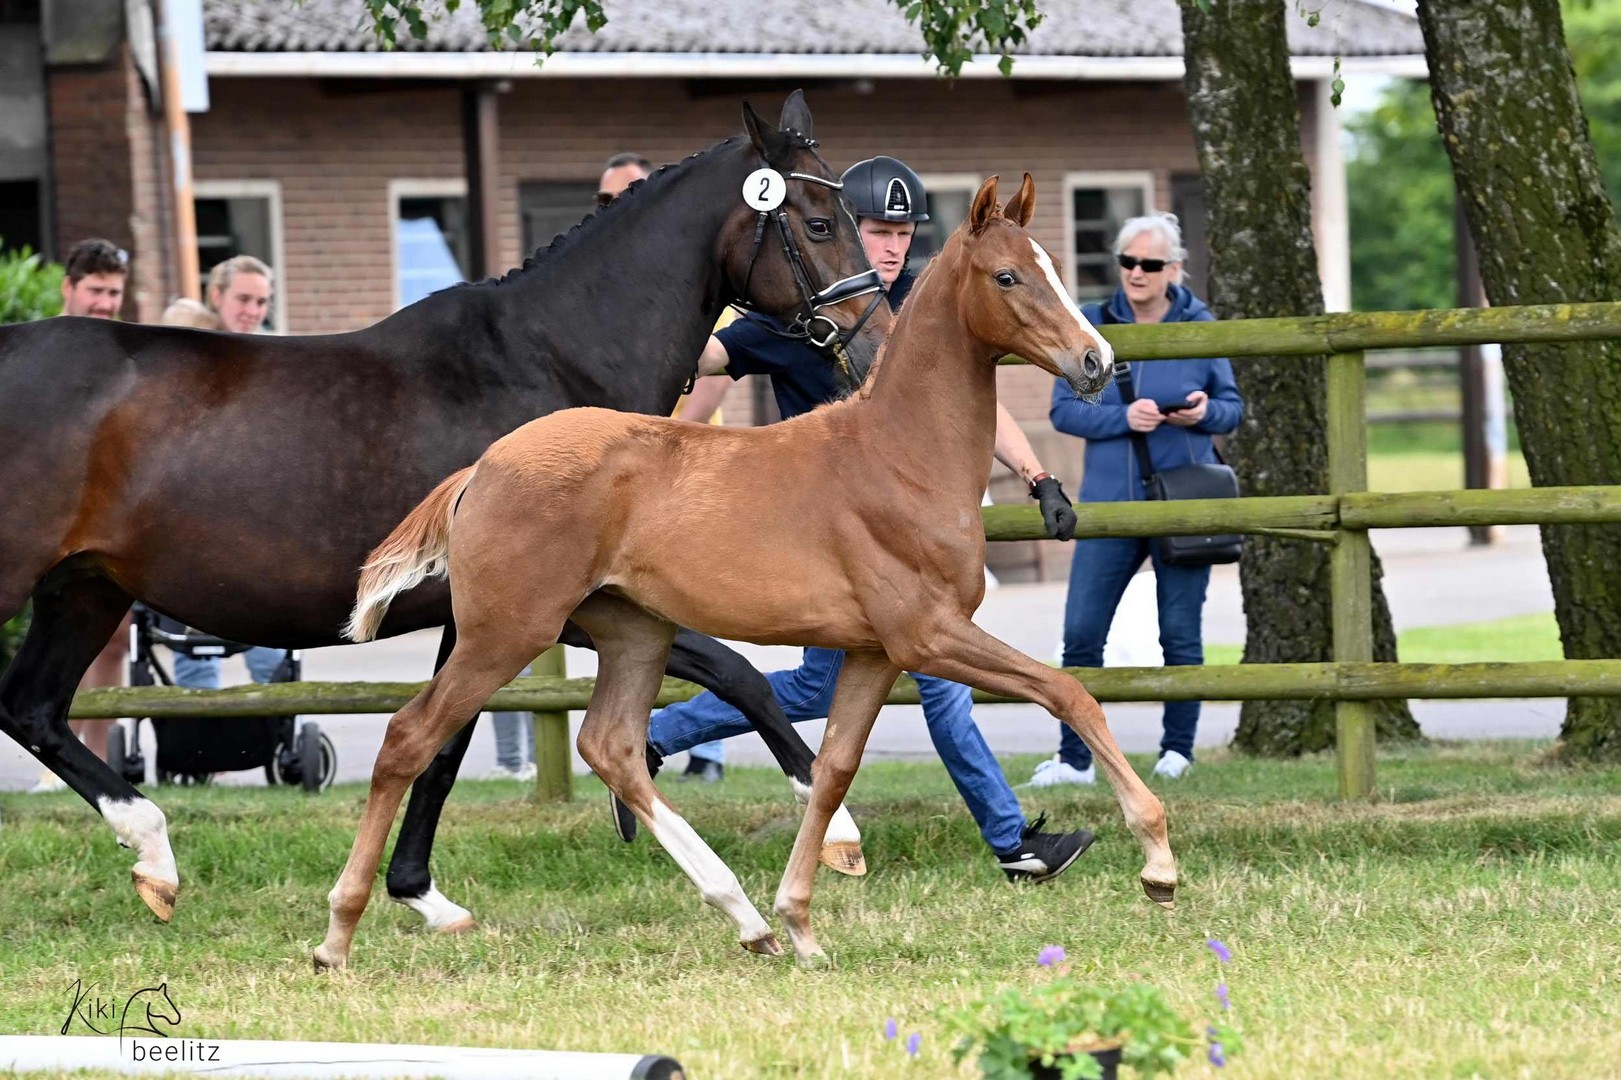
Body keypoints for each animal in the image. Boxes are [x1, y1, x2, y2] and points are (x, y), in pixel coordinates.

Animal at [0, 91, 887, 926]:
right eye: (818, 222)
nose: (875, 343)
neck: (546, 363)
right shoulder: (550, 609)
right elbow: (735, 674)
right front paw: (839, 832)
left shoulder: (520, 615)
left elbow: (448, 745)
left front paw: (419, 893)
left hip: (86, 588)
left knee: (32, 708)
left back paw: (155, 857)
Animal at [320, 174, 1176, 970]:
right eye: (1006, 277)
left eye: (1053, 266)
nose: (1097, 362)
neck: (898, 454)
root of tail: (482, 468)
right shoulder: (927, 634)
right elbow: (1067, 690)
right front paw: (1157, 863)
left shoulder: (874, 652)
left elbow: (832, 770)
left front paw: (799, 918)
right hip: (505, 633)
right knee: (409, 737)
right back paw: (339, 933)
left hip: (633, 632)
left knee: (612, 746)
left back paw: (747, 917)